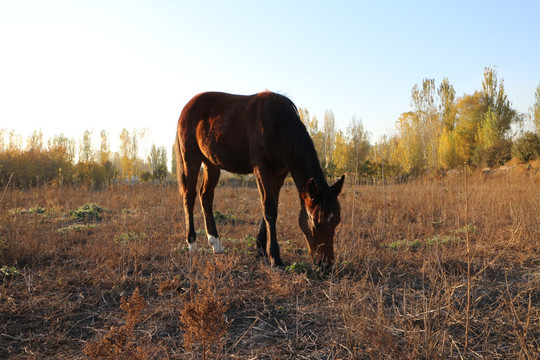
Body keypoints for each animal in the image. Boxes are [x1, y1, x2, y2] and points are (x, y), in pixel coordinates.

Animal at [177, 91, 346, 268]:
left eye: (336, 221)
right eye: (315, 223)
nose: (325, 264)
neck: (278, 123)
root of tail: (188, 106)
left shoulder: (280, 172)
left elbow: (272, 206)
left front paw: (260, 248)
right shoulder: (261, 167)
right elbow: (269, 208)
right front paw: (275, 257)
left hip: (211, 163)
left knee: (206, 196)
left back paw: (215, 243)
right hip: (191, 158)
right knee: (189, 196)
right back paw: (192, 244)